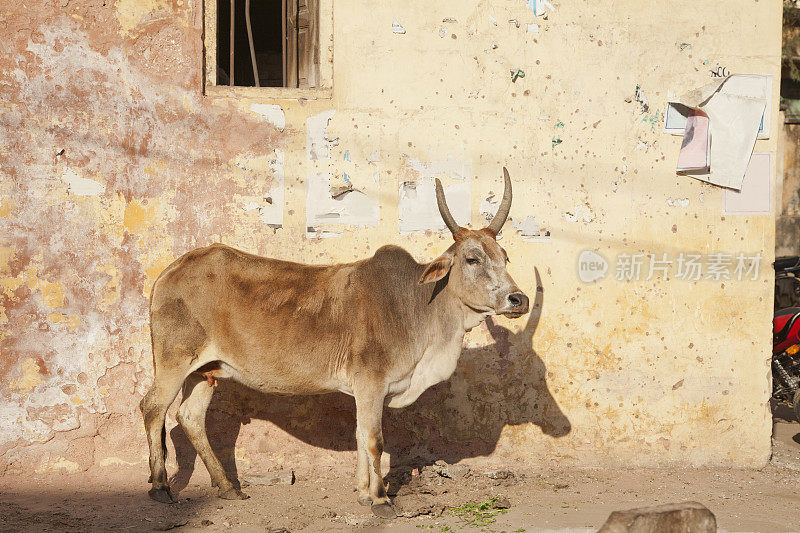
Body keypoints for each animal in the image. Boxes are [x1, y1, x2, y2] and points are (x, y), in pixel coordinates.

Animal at [141, 166, 528, 516]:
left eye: (506, 257)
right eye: (472, 258)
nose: (518, 299)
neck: (417, 305)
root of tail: (169, 271)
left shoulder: (366, 390)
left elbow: (359, 435)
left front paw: (363, 493)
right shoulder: (371, 383)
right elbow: (374, 440)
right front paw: (380, 500)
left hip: (206, 370)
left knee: (190, 417)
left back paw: (226, 487)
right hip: (175, 361)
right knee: (153, 408)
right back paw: (161, 488)